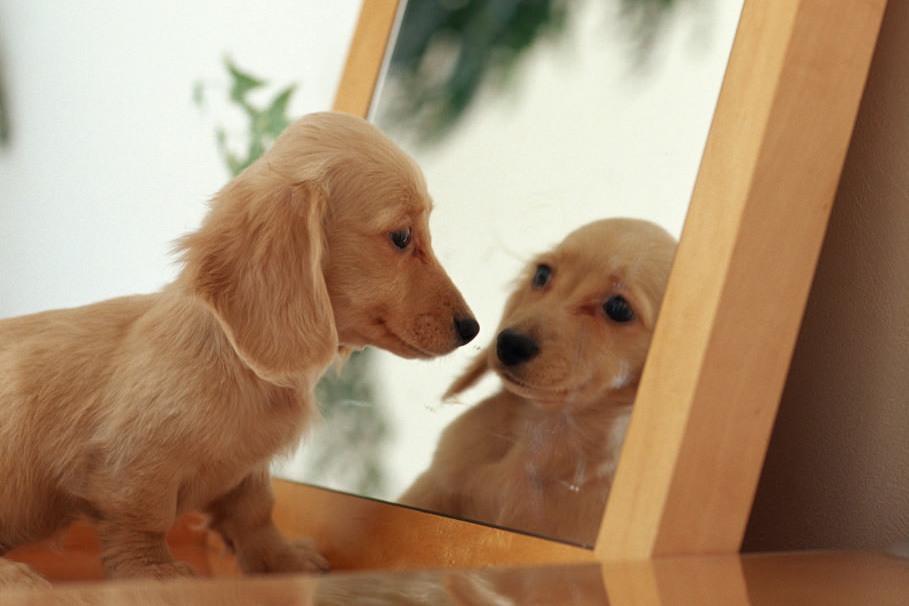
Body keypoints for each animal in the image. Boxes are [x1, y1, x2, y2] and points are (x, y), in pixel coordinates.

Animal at [0, 111, 478, 592]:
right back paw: (18, 576)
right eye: (401, 236)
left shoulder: (247, 471)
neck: (237, 363)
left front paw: (281, 559)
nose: (472, 329)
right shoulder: (133, 461)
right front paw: (155, 573)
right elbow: (143, 519)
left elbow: (255, 514)